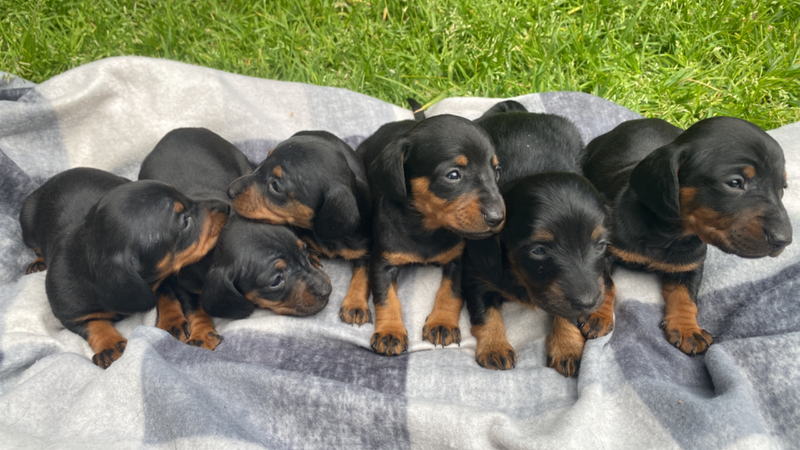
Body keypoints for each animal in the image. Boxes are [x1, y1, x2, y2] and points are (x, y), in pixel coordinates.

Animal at [18, 167, 230, 368]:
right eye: (185, 221)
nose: (226, 206)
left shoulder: (161, 279)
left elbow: (166, 296)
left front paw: (172, 322)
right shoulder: (70, 314)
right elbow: (94, 324)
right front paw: (110, 345)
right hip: (27, 224)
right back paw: (38, 262)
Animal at [227, 132, 374, 326]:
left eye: (275, 186)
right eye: (264, 161)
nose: (229, 191)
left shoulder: (366, 249)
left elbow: (363, 274)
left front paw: (355, 304)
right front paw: (310, 255)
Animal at [462, 102, 612, 376]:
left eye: (601, 245)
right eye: (539, 250)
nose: (588, 303)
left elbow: (566, 311)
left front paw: (567, 347)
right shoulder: (476, 273)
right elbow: (484, 312)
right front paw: (494, 347)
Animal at [580, 118, 792, 356]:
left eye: (783, 187)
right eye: (735, 182)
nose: (784, 240)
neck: (666, 234)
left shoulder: (690, 264)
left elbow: (686, 296)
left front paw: (688, 329)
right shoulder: (603, 252)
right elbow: (606, 283)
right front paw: (597, 314)